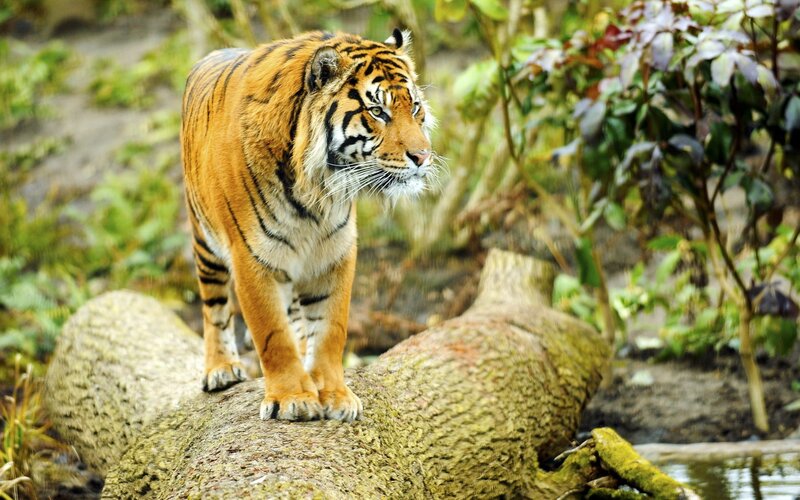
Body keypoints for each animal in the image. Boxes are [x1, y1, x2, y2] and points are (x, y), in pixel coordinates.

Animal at [180, 29, 436, 422]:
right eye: (378, 111)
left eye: (416, 107)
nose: (423, 157)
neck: (316, 189)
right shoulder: (251, 259)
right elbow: (272, 334)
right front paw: (293, 398)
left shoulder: (333, 253)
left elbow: (330, 329)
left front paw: (334, 395)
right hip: (204, 241)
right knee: (214, 307)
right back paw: (221, 369)